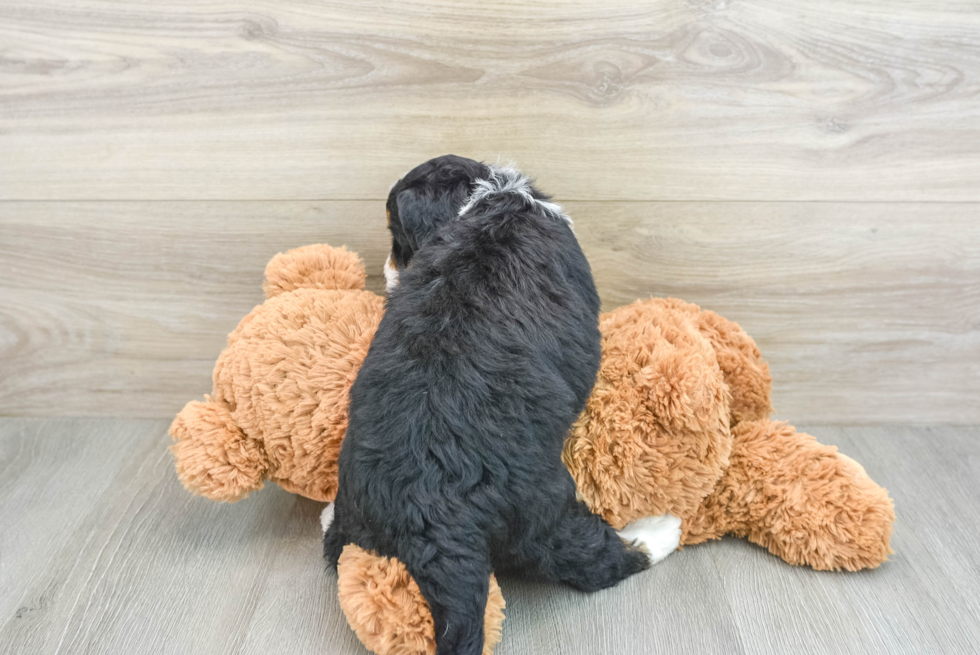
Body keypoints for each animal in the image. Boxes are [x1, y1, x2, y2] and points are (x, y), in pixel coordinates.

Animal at [326, 155, 656, 655]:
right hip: (544, 510)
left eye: (396, 235)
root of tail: (427, 518)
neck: (491, 197)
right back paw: (649, 537)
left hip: (356, 518)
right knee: (592, 558)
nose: (387, 274)